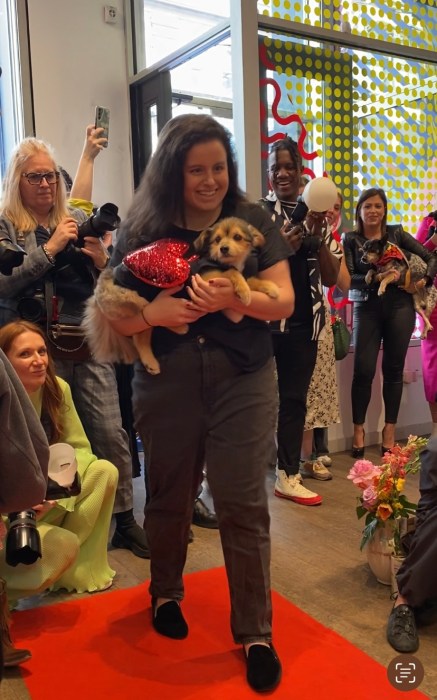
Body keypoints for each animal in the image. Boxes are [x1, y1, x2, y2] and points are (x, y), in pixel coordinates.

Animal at [82, 217, 278, 374]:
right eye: (217, 239)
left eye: (237, 237)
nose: (223, 248)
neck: (218, 262)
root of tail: (107, 280)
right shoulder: (205, 278)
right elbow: (233, 273)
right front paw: (244, 292)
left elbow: (250, 279)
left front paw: (270, 287)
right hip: (135, 298)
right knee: (154, 315)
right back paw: (180, 327)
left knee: (141, 338)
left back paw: (151, 363)